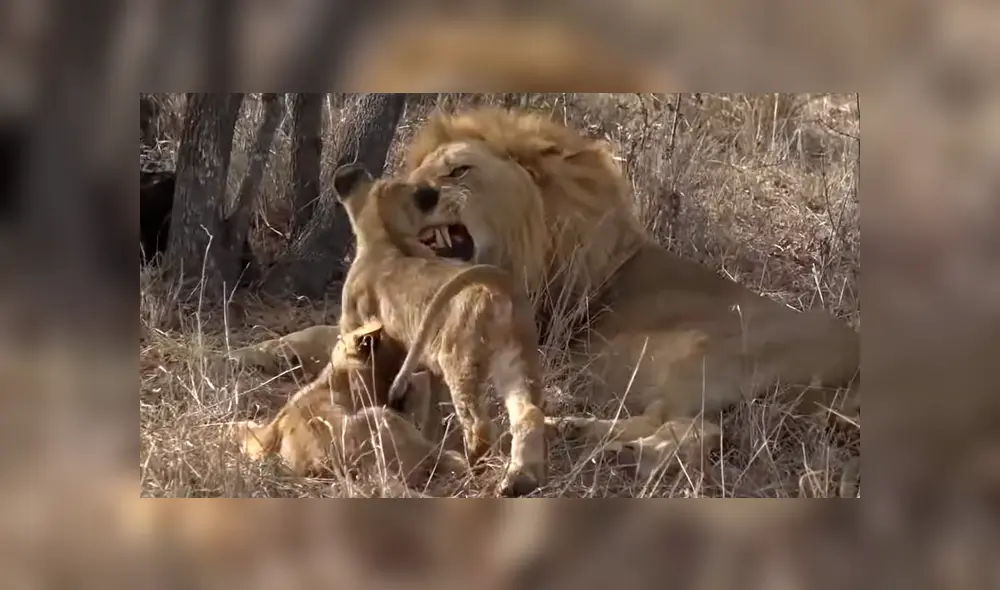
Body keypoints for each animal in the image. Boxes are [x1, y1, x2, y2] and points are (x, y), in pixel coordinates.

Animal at [332, 162, 547, 498]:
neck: (383, 240)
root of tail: (499, 283)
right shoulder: (430, 366)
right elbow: (432, 413)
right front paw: (428, 439)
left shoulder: (358, 331)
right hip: (516, 360)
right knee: (529, 413)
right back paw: (518, 480)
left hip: (458, 362)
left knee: (478, 425)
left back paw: (475, 474)